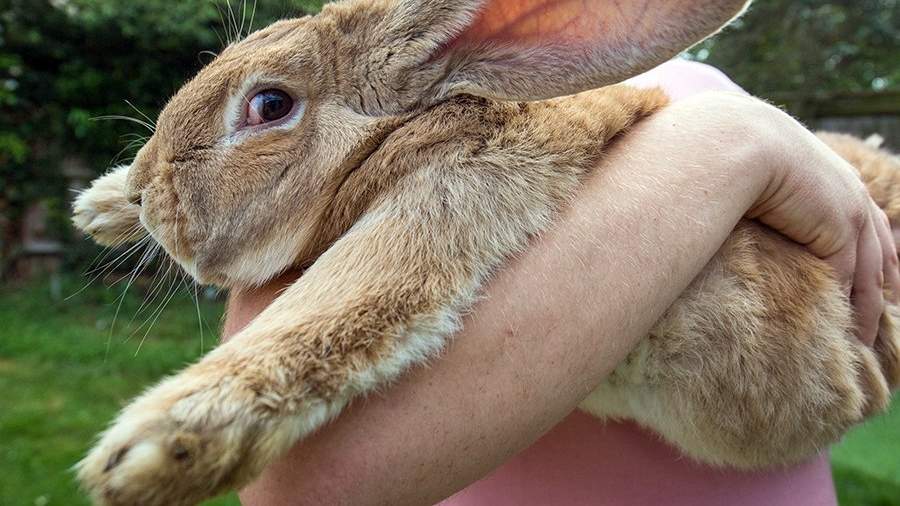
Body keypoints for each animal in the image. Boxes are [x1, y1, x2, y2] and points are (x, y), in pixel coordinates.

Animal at [70, 0, 900, 506]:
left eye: (270, 105)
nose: (150, 192)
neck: (405, 132)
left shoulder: (456, 196)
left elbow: (337, 309)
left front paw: (149, 450)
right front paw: (99, 206)